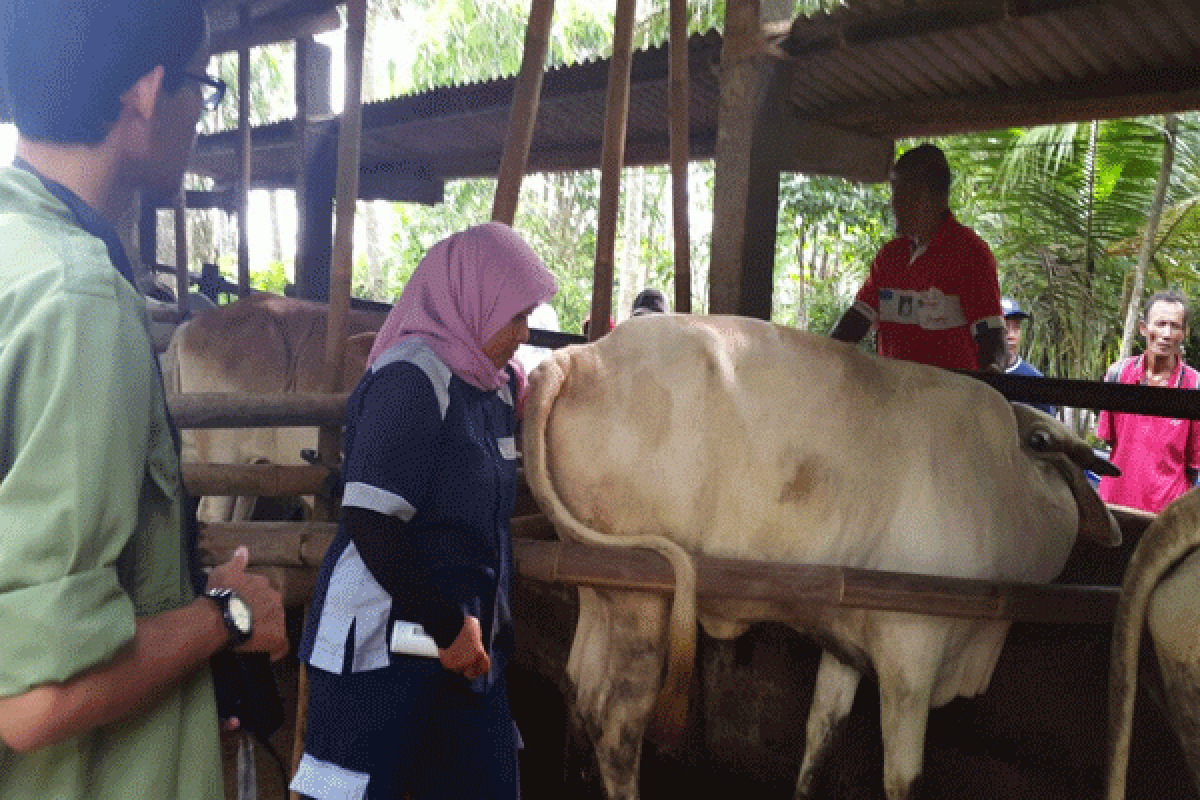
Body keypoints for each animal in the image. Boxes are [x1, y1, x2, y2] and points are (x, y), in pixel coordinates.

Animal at [520, 314, 1118, 800]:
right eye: (1042, 442)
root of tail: (581, 356)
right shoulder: (913, 648)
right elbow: (903, 778)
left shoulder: (844, 643)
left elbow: (820, 741)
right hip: (643, 597)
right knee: (617, 723)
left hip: (598, 582)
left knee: (581, 689)